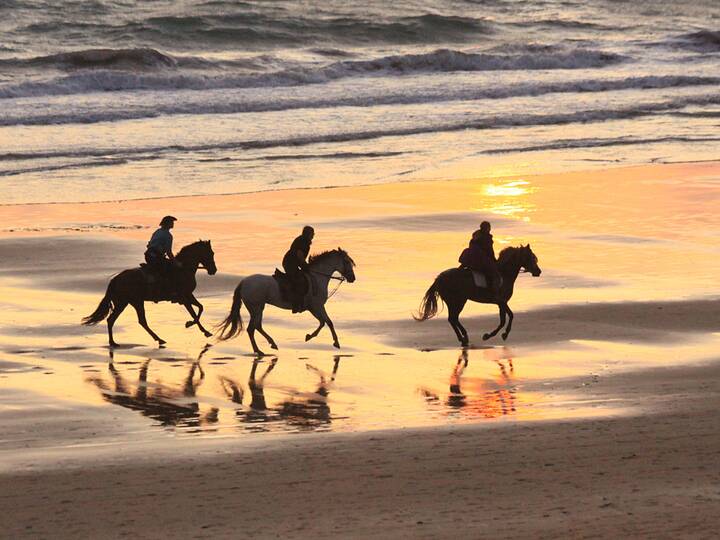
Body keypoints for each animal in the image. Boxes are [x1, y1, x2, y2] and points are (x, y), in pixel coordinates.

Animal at [81, 239, 217, 346]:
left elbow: (200, 308)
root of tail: (115, 279)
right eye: (211, 253)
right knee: (131, 321)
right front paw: (196, 327)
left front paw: (200, 328)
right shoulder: (184, 297)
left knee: (120, 320)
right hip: (131, 302)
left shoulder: (188, 296)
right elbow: (194, 313)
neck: (183, 269)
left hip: (128, 302)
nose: (213, 270)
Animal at [217, 248, 358, 354]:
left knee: (256, 327)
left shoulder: (313, 308)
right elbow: (328, 322)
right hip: (257, 308)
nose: (352, 278)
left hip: (257, 308)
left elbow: (323, 322)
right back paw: (260, 349)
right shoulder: (317, 306)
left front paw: (309, 336)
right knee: (252, 328)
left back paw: (269, 345)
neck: (317, 278)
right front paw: (335, 342)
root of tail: (243, 282)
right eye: (347, 261)